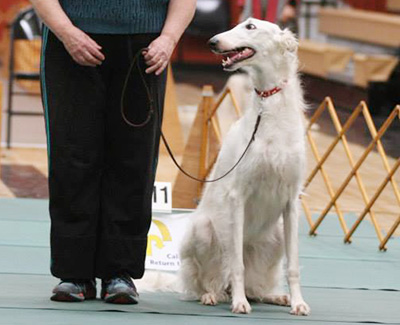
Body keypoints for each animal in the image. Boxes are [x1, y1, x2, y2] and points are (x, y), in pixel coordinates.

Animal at [179, 19, 312, 316]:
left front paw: (298, 303)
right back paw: (214, 295)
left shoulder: (291, 201)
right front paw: (240, 303)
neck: (269, 105)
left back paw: (275, 296)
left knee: (256, 287)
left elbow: (294, 266)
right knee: (210, 279)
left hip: (276, 235)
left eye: (250, 26)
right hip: (201, 230)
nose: (212, 42)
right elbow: (236, 264)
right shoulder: (238, 196)